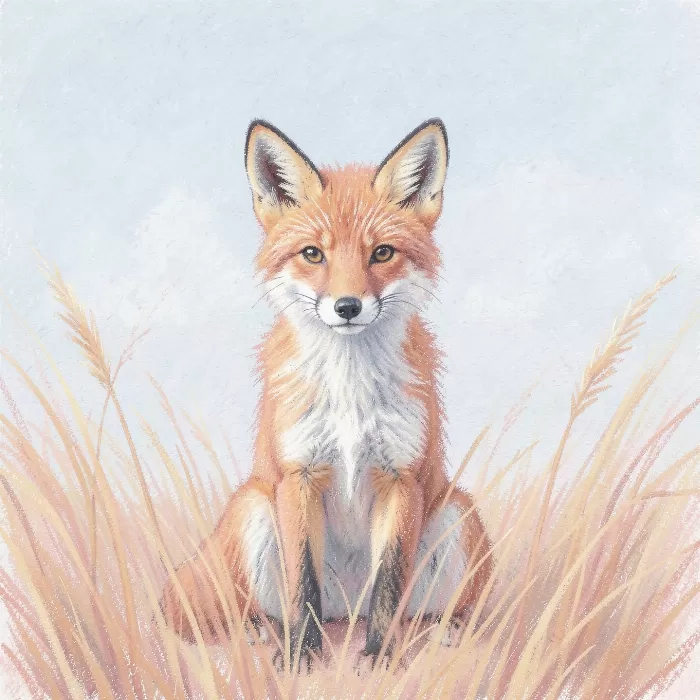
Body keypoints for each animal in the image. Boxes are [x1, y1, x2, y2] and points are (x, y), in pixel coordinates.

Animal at [159, 118, 493, 672]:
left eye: (382, 253)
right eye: (313, 254)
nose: (347, 306)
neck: (349, 390)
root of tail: (346, 614)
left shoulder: (401, 478)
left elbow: (389, 587)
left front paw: (379, 655)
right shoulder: (299, 476)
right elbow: (302, 584)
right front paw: (300, 654)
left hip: (455, 512)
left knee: (418, 606)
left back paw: (447, 627)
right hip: (254, 507)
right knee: (258, 603)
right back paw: (257, 627)